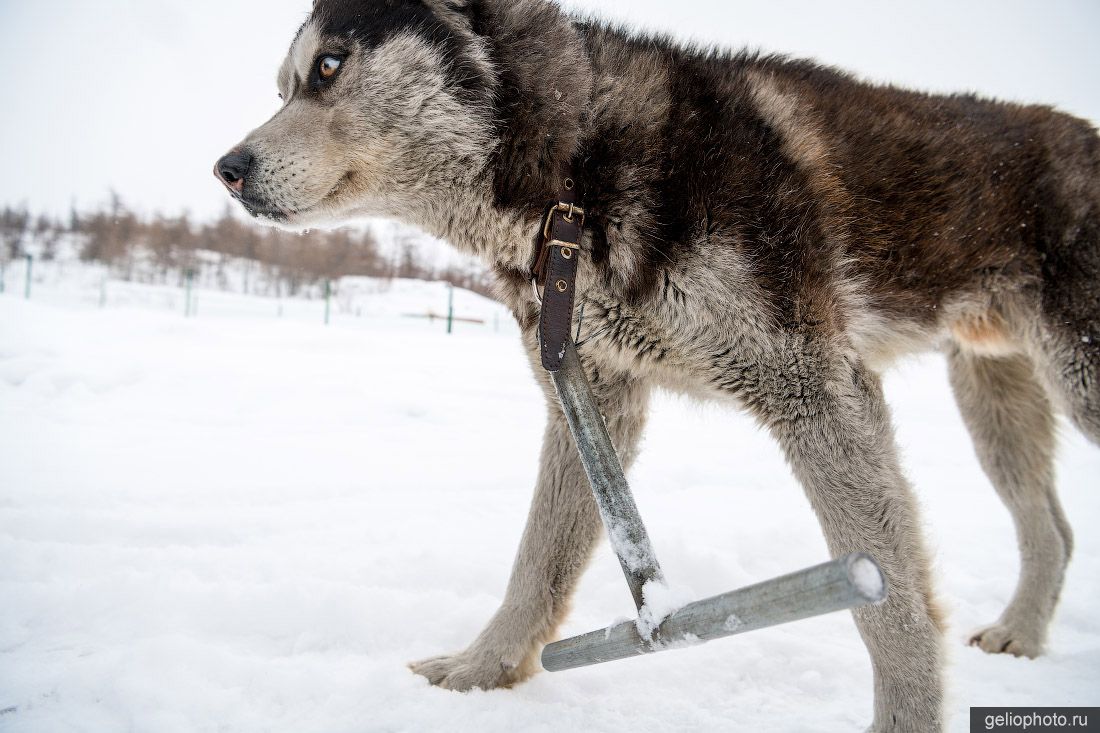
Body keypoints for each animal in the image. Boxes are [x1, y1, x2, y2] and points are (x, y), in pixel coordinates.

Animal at [210, 2, 1095, 726]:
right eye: (284, 85)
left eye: (329, 66)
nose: (227, 168)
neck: (576, 167)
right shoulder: (588, 392)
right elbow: (537, 560)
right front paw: (478, 674)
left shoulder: (815, 390)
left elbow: (893, 606)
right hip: (994, 399)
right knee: (1050, 528)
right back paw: (1020, 634)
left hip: (1076, 379)